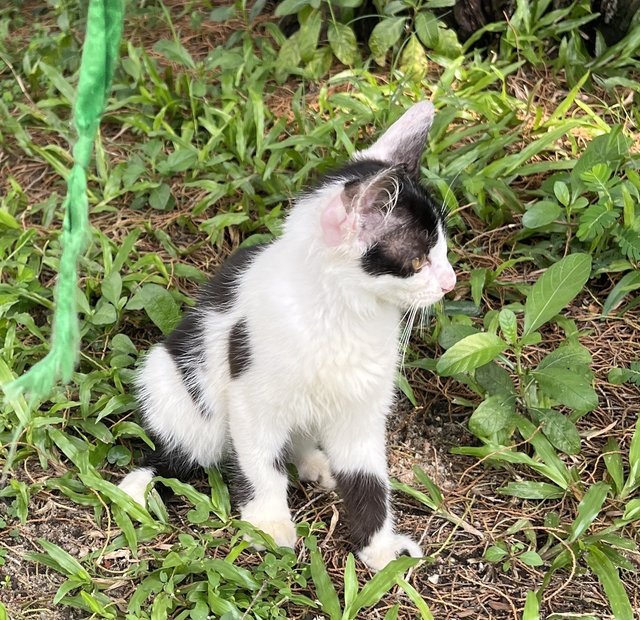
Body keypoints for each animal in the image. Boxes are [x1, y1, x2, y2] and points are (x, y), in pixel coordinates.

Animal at [119, 101, 456, 572]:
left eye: (442, 250)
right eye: (419, 260)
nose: (450, 282)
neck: (341, 314)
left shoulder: (362, 403)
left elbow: (368, 477)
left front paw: (380, 549)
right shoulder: (249, 390)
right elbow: (259, 460)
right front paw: (269, 523)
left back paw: (312, 460)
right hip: (172, 382)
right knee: (185, 450)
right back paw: (142, 482)